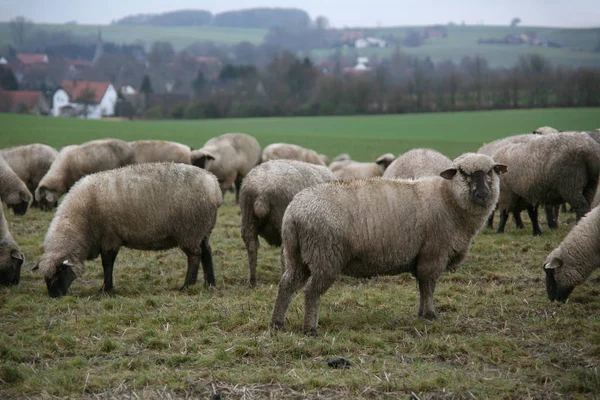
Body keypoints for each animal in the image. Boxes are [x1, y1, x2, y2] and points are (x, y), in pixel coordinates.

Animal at [31, 162, 223, 296]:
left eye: (59, 273)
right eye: (45, 278)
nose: (54, 296)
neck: (80, 225)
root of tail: (214, 185)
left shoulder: (109, 237)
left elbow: (107, 263)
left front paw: (105, 289)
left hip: (189, 230)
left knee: (195, 256)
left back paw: (187, 286)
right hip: (203, 231)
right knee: (207, 253)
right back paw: (209, 284)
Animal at [272, 152, 506, 334]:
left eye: (491, 172)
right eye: (463, 173)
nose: (482, 194)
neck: (448, 199)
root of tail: (294, 212)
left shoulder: (422, 257)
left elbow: (422, 286)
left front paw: (422, 313)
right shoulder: (434, 253)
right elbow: (429, 286)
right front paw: (431, 314)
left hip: (296, 255)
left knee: (286, 285)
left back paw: (277, 323)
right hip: (325, 255)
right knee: (311, 292)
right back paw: (310, 328)